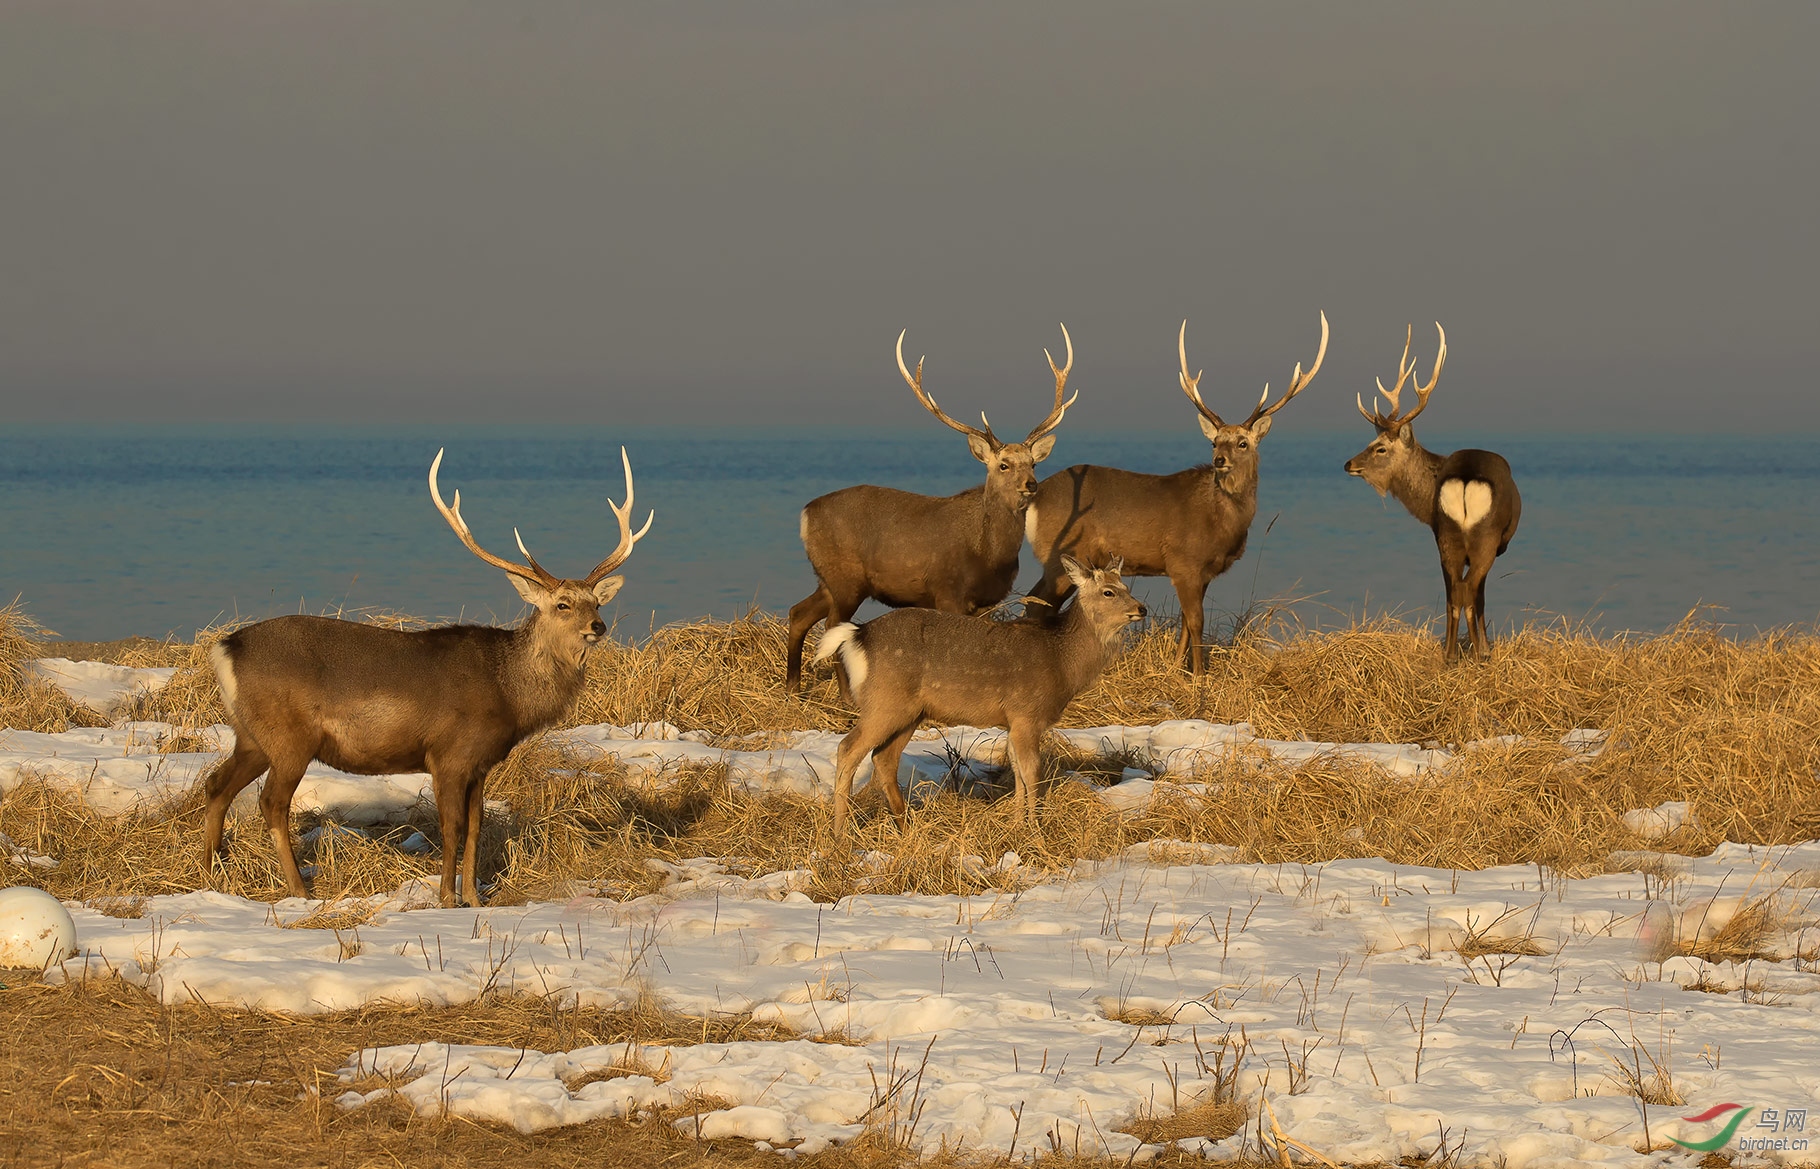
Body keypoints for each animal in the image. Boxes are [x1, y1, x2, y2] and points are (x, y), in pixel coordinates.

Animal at [197, 444, 655, 903]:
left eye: (597, 601)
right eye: (562, 604)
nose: (598, 626)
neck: (507, 691)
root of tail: (225, 649)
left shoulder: (480, 763)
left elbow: (476, 828)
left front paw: (473, 898)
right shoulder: (448, 752)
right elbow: (452, 828)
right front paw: (446, 899)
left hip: (252, 735)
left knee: (217, 784)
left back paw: (211, 871)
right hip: (290, 735)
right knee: (271, 802)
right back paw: (299, 892)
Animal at [786, 325, 1077, 691]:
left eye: (1033, 464)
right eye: (1004, 465)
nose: (1031, 485)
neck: (989, 554)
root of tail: (805, 514)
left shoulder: (987, 600)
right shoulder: (947, 591)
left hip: (828, 578)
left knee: (798, 614)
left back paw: (792, 690)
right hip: (844, 578)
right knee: (832, 627)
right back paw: (843, 695)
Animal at [808, 553, 1135, 833]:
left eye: (1126, 586)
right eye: (1108, 592)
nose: (1140, 609)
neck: (1062, 660)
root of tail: (858, 635)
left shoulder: (1013, 722)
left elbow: (1017, 771)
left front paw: (1017, 824)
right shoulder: (1027, 713)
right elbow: (1032, 772)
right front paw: (1036, 828)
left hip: (909, 711)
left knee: (884, 758)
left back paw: (904, 825)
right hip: (885, 701)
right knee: (848, 748)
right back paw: (840, 833)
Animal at [1026, 311, 1324, 673]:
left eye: (1242, 442)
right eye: (1214, 442)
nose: (1219, 461)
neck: (1220, 521)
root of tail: (1036, 496)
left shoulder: (1204, 571)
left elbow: (1184, 622)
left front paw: (1178, 671)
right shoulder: (1184, 562)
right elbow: (1196, 622)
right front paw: (1199, 675)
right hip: (1058, 555)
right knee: (1037, 604)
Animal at [1339, 324, 1521, 659]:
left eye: (1379, 447)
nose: (1349, 464)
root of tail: (1464, 478)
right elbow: (1479, 596)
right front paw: (1485, 649)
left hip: (1447, 535)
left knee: (1455, 594)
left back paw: (1450, 655)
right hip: (1484, 536)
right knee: (1468, 591)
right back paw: (1476, 654)